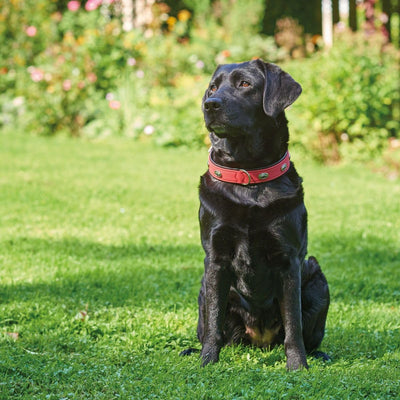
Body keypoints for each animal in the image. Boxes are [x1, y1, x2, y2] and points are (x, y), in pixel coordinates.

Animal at [183, 60, 330, 372]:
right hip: (203, 289)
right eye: (212, 87)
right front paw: (207, 361)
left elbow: (294, 325)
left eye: (245, 84)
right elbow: (214, 323)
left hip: (316, 279)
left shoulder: (290, 260)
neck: (248, 175)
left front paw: (297, 366)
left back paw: (318, 355)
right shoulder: (215, 258)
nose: (210, 104)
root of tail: (260, 340)